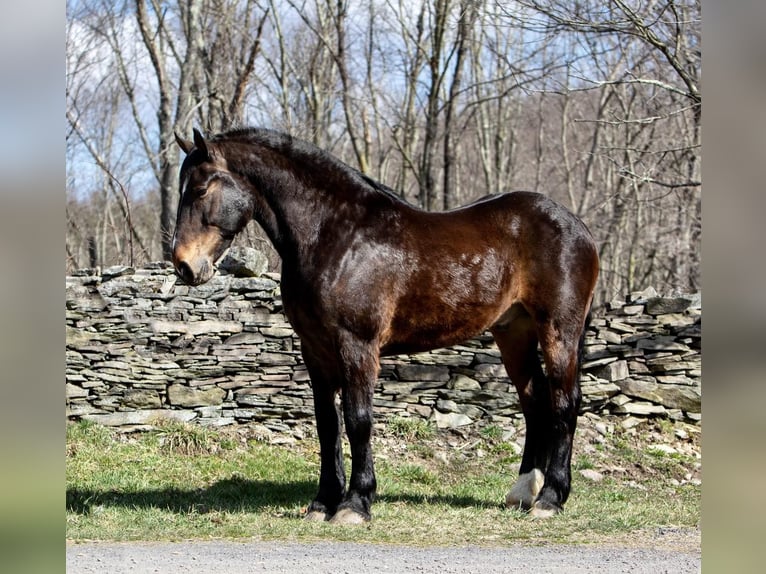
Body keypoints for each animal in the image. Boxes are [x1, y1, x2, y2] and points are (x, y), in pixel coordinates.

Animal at [172, 128, 600, 524]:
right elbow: (327, 425)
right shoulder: (315, 350)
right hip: (514, 332)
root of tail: (577, 226)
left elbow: (358, 420)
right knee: (534, 401)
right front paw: (322, 503)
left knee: (565, 403)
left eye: (200, 189)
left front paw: (355, 504)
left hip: (559, 330)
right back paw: (524, 492)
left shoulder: (357, 346)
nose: (184, 266)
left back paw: (550, 499)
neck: (336, 237)